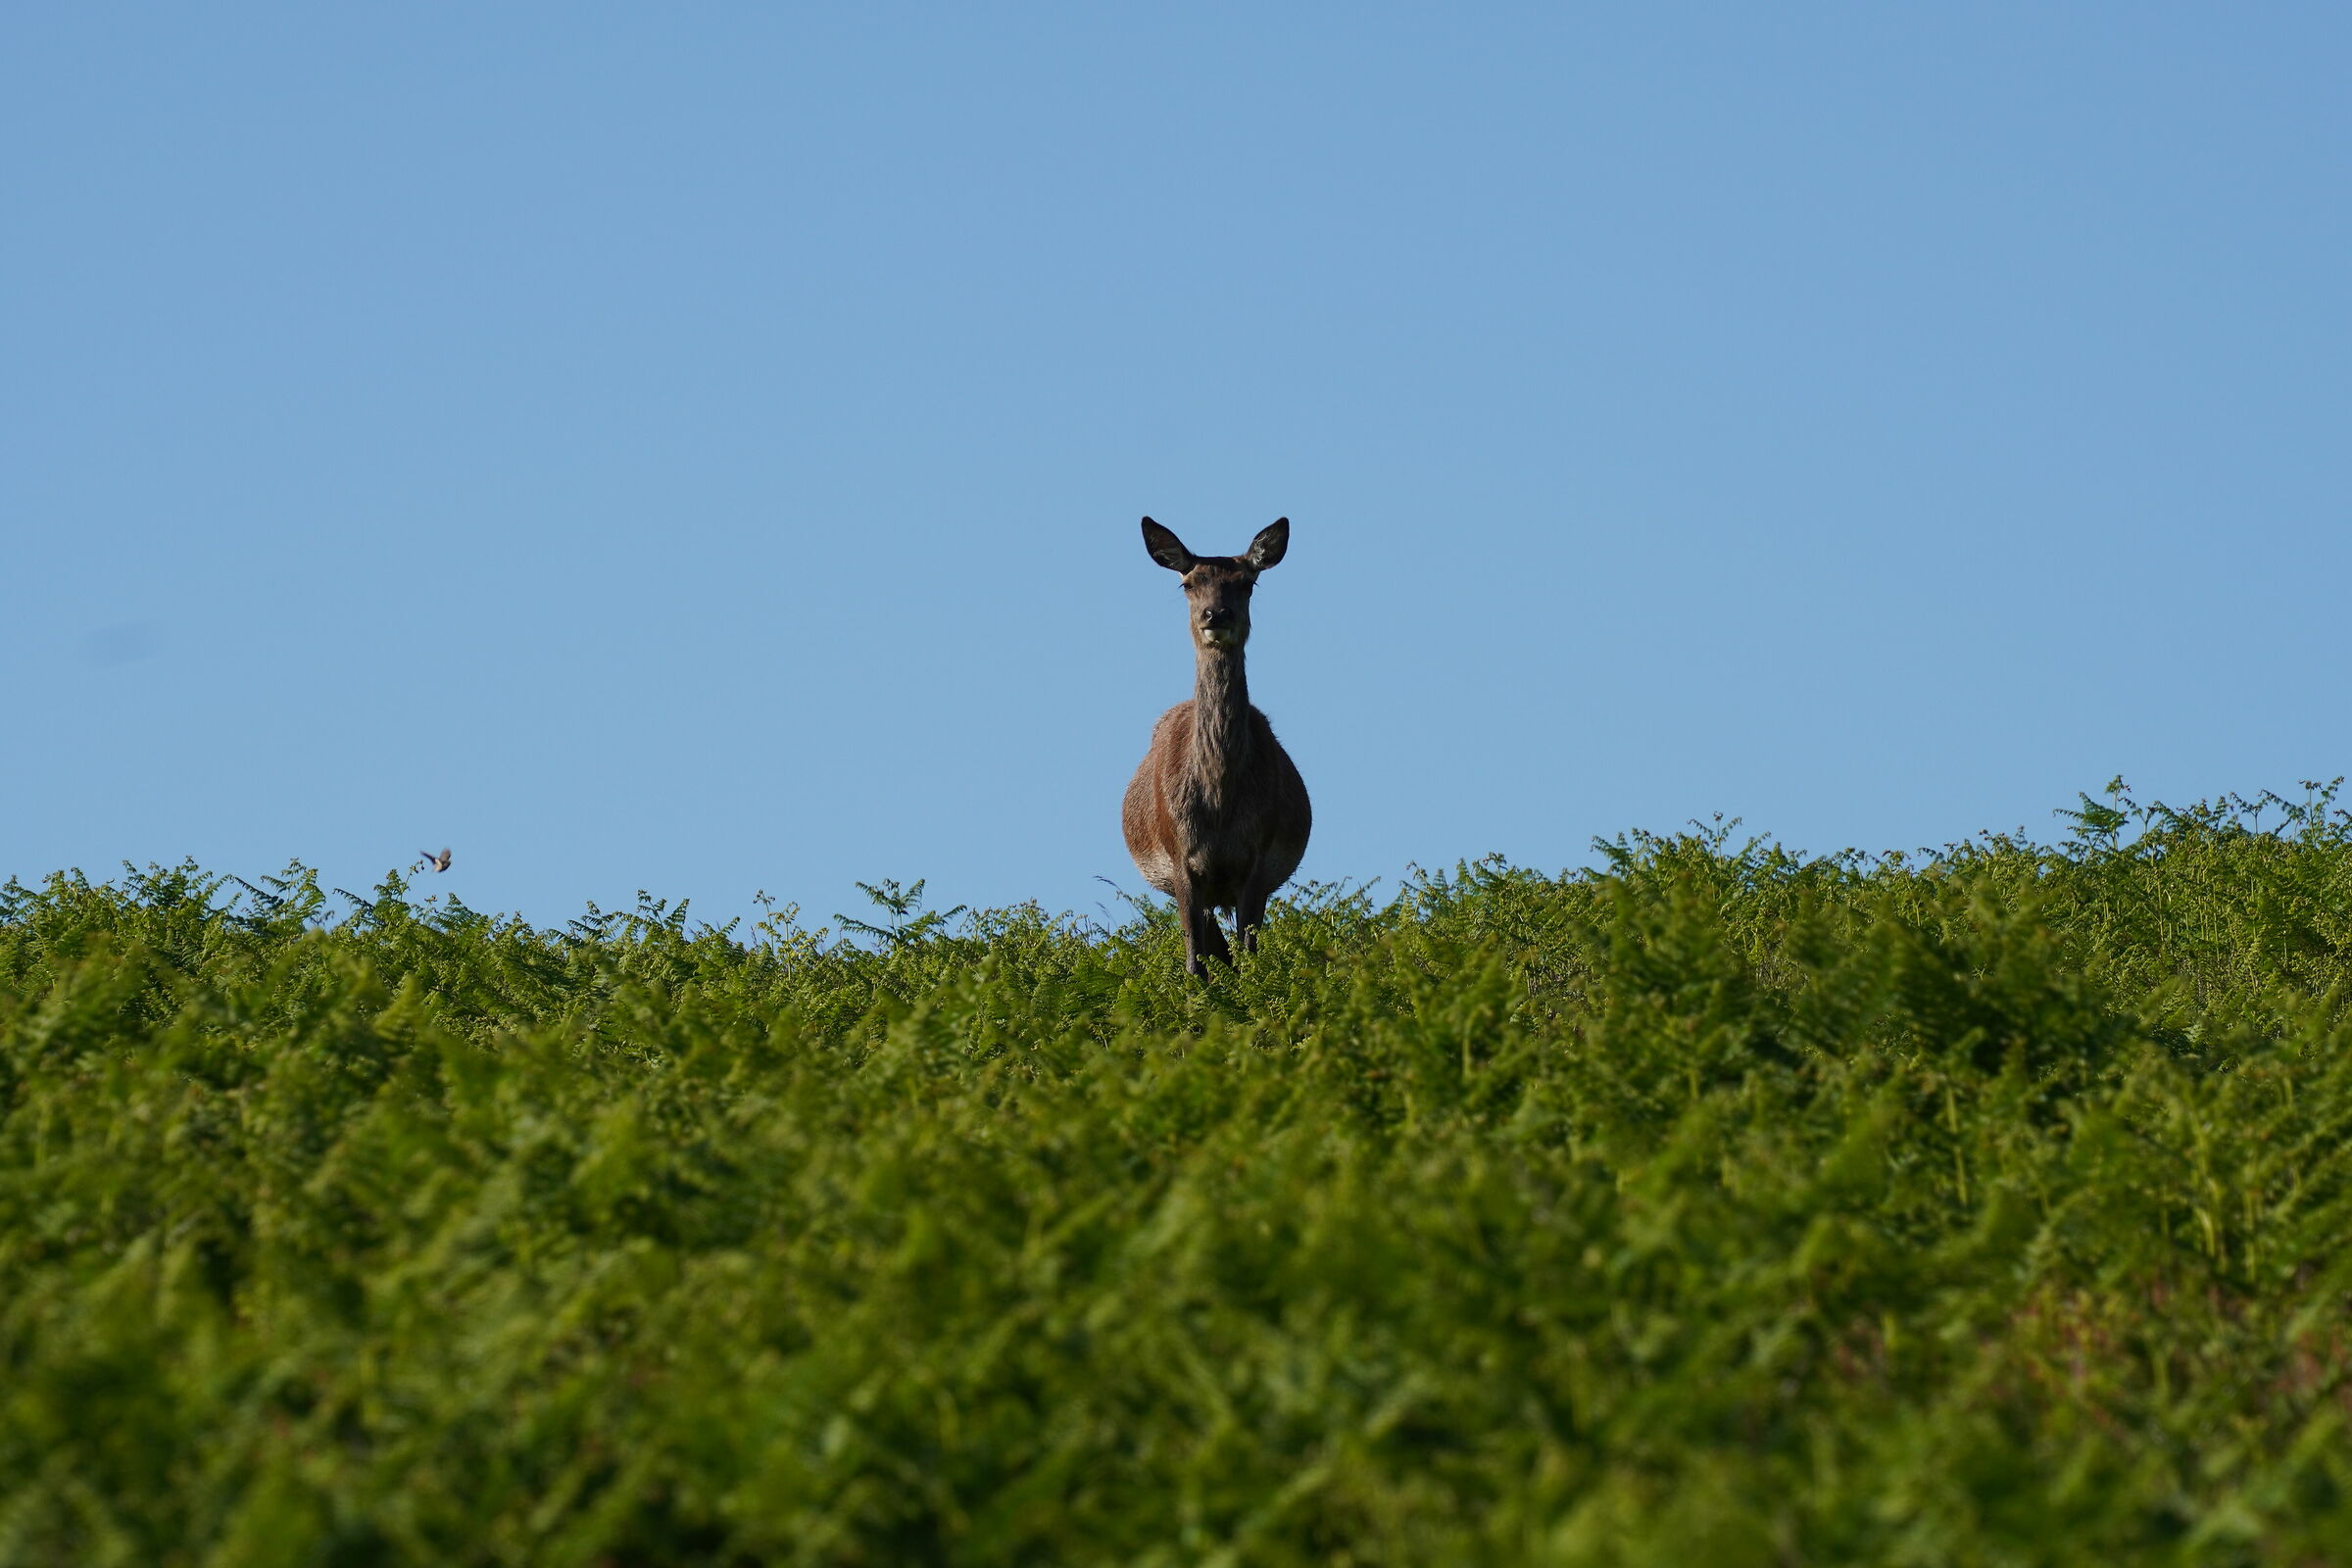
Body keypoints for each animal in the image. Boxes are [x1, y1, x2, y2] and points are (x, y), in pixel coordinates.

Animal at [1121, 516, 1313, 977]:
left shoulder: (1257, 862)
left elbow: (1249, 956)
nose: (1216, 614)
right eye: (1188, 583)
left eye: (1246, 583)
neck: (1220, 804)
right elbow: (1195, 963)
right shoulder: (1181, 862)